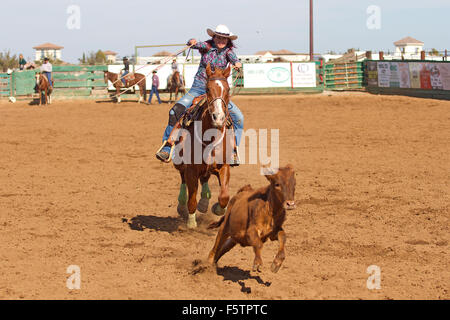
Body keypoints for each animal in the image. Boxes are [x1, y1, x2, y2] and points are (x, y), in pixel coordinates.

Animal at [173, 63, 236, 229]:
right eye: (207, 89)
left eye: (228, 89)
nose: (218, 118)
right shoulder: (191, 170)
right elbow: (191, 199)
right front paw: (191, 222)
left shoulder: (224, 166)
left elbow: (224, 196)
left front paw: (218, 209)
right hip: (181, 163)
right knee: (183, 179)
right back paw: (182, 205)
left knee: (205, 178)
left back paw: (204, 201)